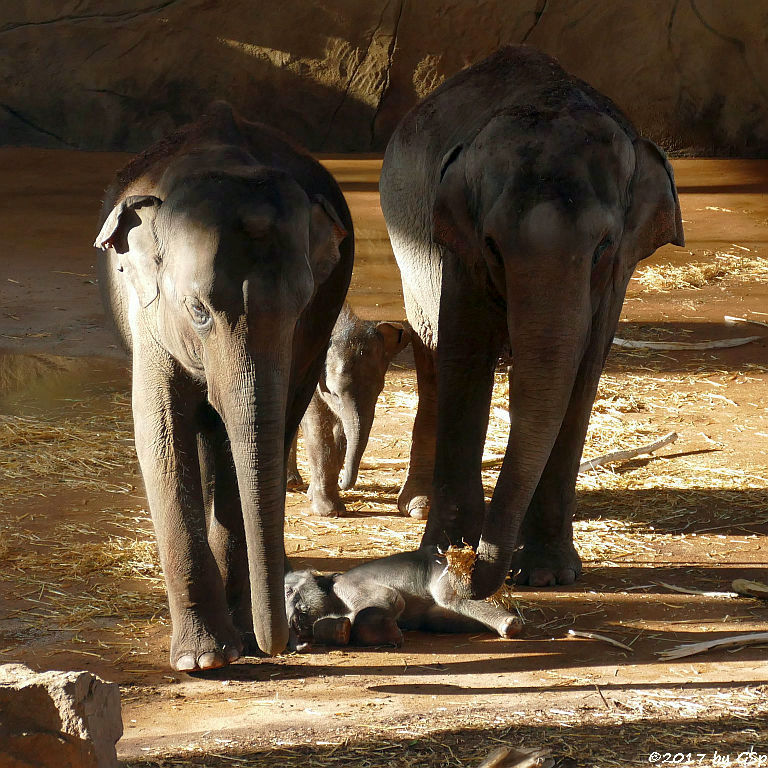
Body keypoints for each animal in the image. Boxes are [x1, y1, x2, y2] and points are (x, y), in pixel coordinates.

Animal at [94, 103, 354, 672]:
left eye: (301, 307)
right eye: (197, 310)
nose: (281, 644)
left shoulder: (306, 335)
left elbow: (258, 440)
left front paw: (240, 642)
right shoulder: (148, 314)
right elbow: (160, 431)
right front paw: (204, 661)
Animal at [284, 544, 524, 648]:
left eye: (288, 591)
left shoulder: (348, 587)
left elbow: (391, 598)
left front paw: (393, 634)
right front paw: (338, 629)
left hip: (442, 571)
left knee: (449, 598)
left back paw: (510, 625)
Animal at [286, 302, 408, 516]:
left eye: (379, 389)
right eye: (334, 394)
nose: (343, 481)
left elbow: (341, 430)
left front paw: (319, 497)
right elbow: (318, 426)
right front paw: (329, 512)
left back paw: (292, 482)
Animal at [378, 46, 684, 600]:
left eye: (602, 247)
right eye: (494, 246)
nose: (469, 577)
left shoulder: (617, 274)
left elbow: (583, 374)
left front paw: (546, 573)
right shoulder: (462, 252)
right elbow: (464, 356)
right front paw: (442, 555)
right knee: (429, 347)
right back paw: (418, 504)